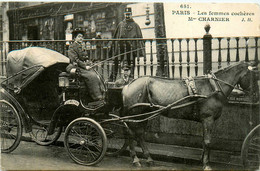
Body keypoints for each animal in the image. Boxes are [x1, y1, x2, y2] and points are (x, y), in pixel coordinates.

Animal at [121, 60, 256, 169]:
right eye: (253, 75)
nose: (255, 94)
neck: (213, 86)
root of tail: (128, 85)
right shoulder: (208, 119)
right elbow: (208, 141)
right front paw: (207, 164)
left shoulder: (205, 120)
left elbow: (204, 141)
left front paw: (203, 160)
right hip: (135, 114)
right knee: (131, 134)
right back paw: (135, 159)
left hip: (144, 114)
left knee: (139, 134)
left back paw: (148, 159)